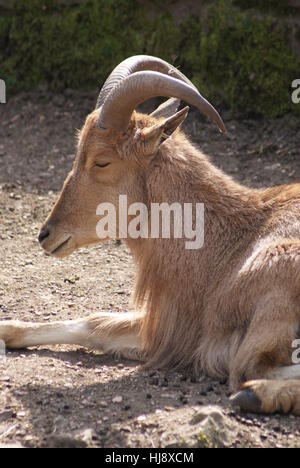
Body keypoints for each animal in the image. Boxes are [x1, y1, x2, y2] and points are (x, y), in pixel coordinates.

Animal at [0, 56, 300, 414]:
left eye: (102, 162)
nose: (46, 234)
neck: (228, 246)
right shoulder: (171, 330)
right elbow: (97, 324)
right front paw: (5, 330)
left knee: (254, 368)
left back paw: (257, 394)